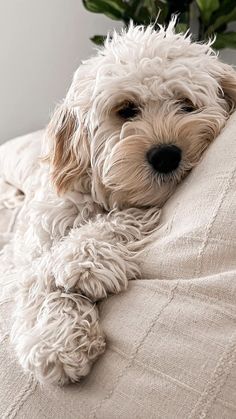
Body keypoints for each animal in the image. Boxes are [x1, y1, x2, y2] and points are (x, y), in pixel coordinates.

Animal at [8, 20, 236, 388]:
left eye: (186, 104)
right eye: (126, 110)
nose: (166, 156)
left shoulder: (137, 210)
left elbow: (118, 220)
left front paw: (84, 261)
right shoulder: (37, 243)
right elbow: (38, 282)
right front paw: (55, 342)